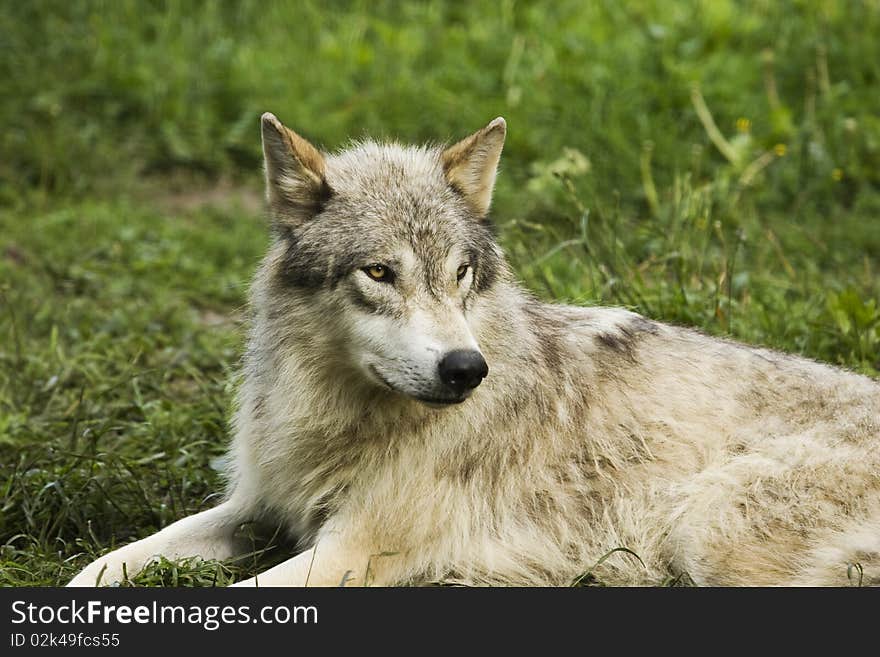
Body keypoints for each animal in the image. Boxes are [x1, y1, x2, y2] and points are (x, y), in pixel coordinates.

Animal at [69, 111, 880, 584]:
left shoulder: (347, 553)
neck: (342, 416)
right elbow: (107, 565)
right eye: (379, 272)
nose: (467, 369)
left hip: (709, 533)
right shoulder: (258, 506)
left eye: (460, 272)